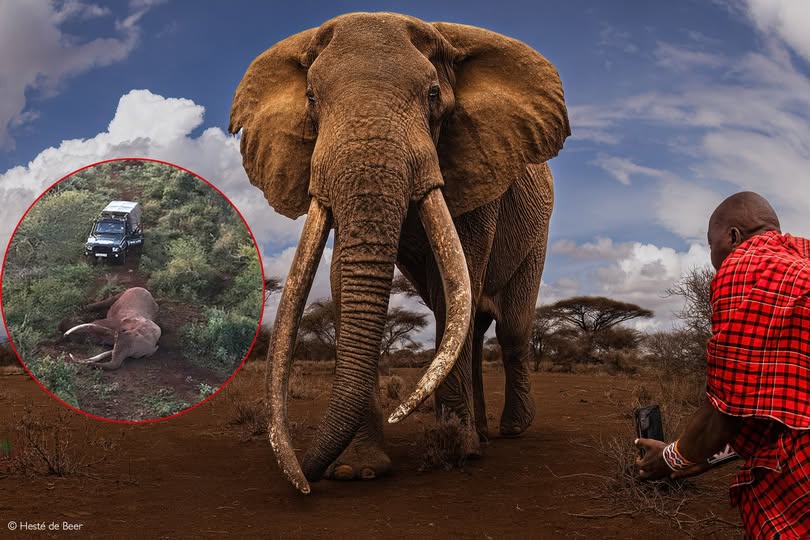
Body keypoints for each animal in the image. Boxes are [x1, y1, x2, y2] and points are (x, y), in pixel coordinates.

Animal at [230, 12, 569, 493]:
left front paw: (457, 451)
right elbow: (341, 278)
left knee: (512, 329)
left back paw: (510, 431)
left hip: (537, 232)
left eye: (433, 95)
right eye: (311, 98)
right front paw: (357, 470)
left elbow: (455, 283)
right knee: (476, 326)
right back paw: (483, 434)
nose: (306, 480)